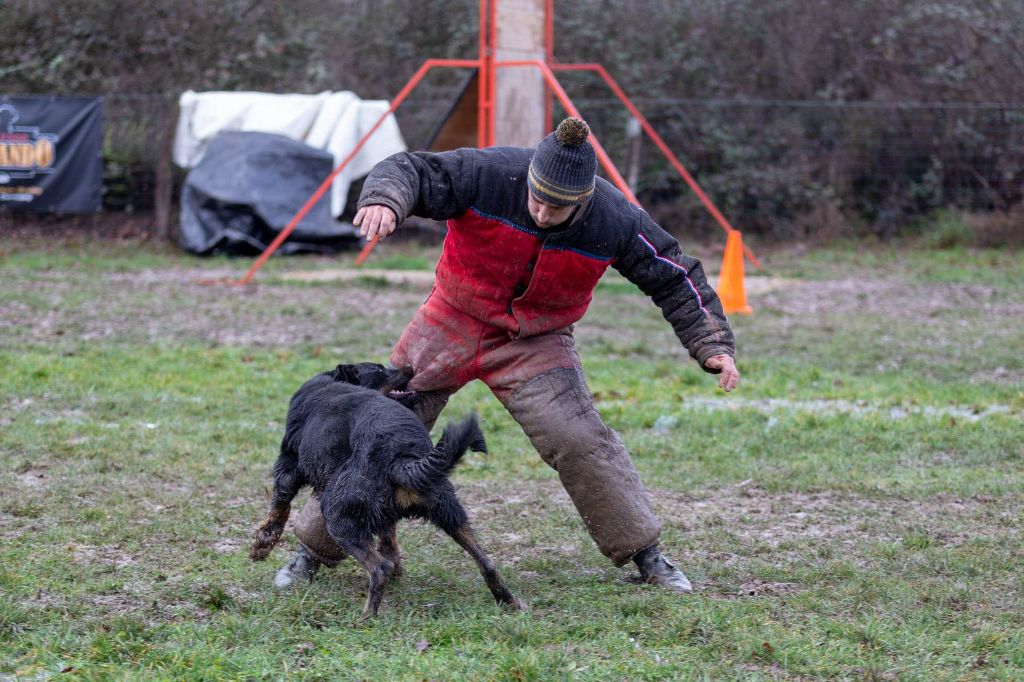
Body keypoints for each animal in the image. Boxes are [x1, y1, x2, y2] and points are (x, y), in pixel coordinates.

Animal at [245, 360, 520, 614]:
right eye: (380, 370)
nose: (410, 366)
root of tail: (400, 457)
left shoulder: (288, 464)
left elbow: (279, 506)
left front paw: (262, 544)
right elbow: (389, 535)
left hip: (336, 516)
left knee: (378, 569)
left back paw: (366, 618)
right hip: (448, 510)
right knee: (487, 562)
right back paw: (510, 602)